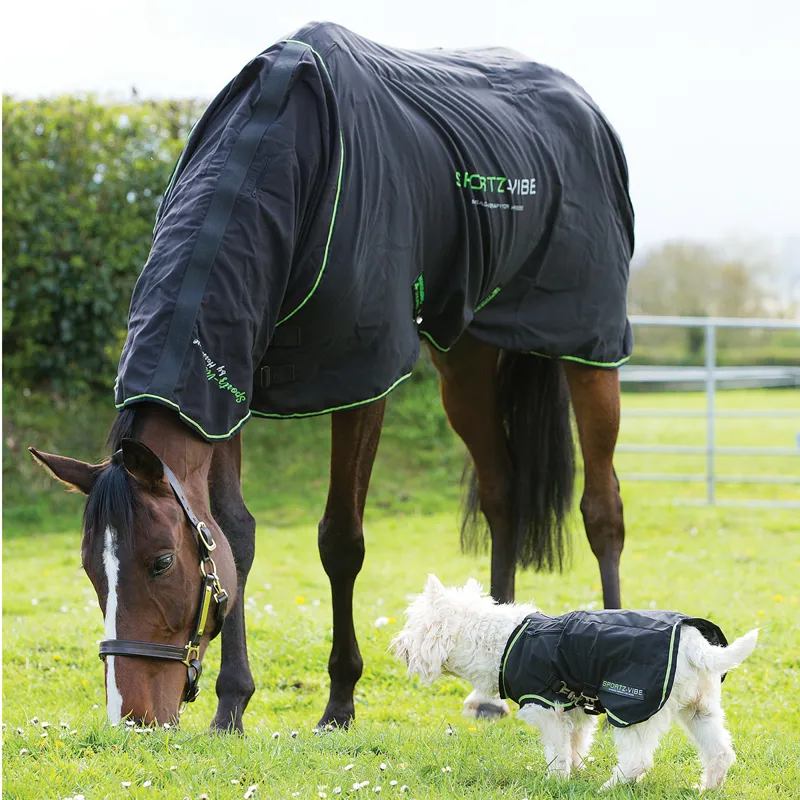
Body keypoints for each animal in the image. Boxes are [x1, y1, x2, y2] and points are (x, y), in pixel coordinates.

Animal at [29, 22, 633, 730]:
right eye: (92, 573)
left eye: (160, 562)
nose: (133, 717)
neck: (286, 159)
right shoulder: (227, 393)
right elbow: (235, 538)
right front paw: (232, 704)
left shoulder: (361, 379)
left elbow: (341, 541)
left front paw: (339, 701)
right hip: (467, 360)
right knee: (502, 494)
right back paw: (489, 689)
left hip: (588, 348)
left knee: (603, 508)